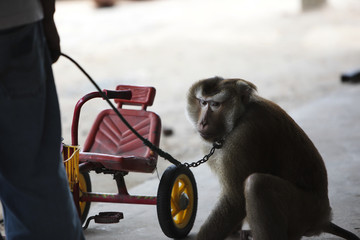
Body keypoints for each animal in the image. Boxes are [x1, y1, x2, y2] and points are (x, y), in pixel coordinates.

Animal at [187, 77, 358, 240]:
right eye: (203, 103)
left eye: (215, 104)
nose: (202, 122)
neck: (240, 116)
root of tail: (324, 217)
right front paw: (234, 232)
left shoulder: (245, 135)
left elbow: (235, 200)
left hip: (306, 211)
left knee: (257, 185)